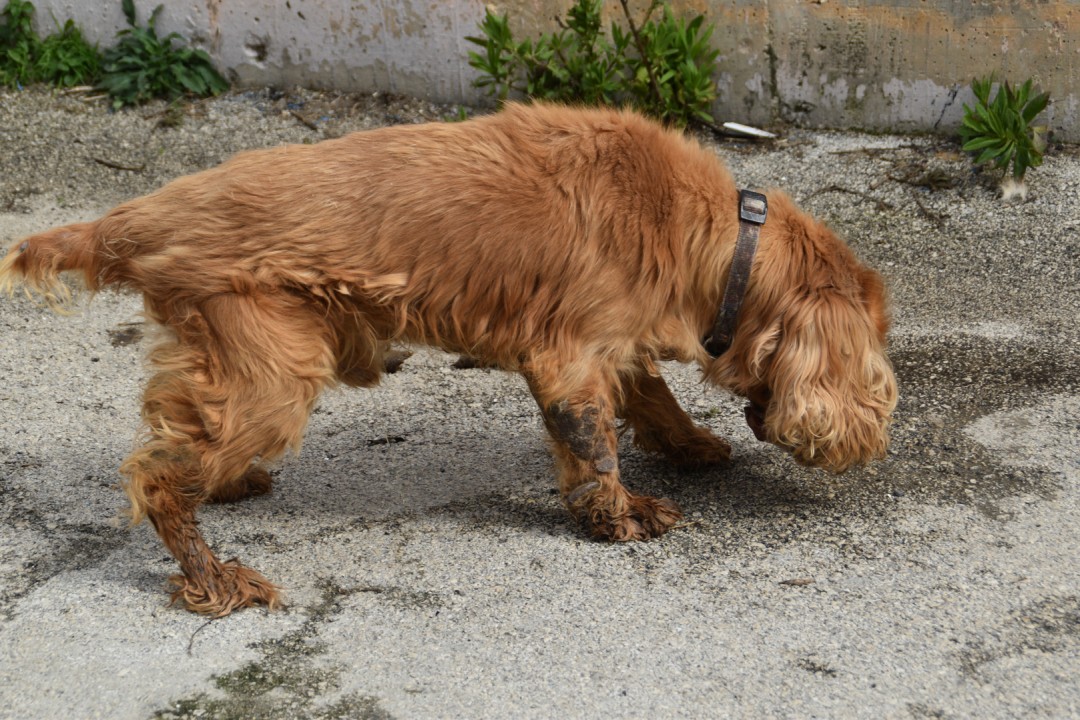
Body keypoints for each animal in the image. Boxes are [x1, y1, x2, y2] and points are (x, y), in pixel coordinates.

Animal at [0, 103, 897, 616]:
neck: (710, 236)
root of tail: (134, 219)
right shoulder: (569, 355)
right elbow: (594, 446)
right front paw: (621, 515)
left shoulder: (613, 341)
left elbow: (648, 397)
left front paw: (690, 446)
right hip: (276, 369)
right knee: (156, 476)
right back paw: (213, 579)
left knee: (180, 441)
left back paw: (227, 485)